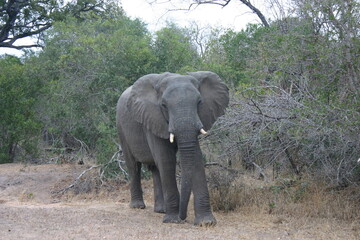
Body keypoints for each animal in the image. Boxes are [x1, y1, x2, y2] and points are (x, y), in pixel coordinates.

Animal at [116, 70, 229, 226]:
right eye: (164, 105)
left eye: (199, 102)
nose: (183, 216)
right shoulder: (152, 117)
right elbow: (166, 159)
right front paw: (173, 221)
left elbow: (196, 158)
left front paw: (206, 223)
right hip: (121, 127)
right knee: (133, 166)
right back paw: (138, 206)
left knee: (155, 169)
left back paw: (161, 210)